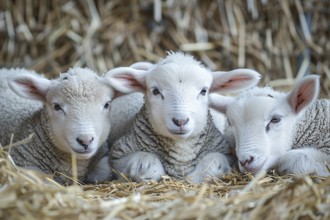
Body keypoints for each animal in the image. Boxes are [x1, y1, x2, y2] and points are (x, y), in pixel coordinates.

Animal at [105, 52, 260, 183]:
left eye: (204, 91)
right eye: (155, 91)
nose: (180, 121)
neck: (181, 153)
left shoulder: (224, 153)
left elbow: (212, 162)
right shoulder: (117, 155)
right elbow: (147, 163)